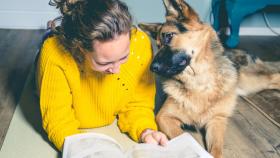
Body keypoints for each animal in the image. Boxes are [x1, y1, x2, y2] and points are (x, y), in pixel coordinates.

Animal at [138, 0, 280, 157]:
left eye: (169, 36)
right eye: (158, 45)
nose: (152, 68)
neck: (199, 83)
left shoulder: (216, 120)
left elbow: (216, 149)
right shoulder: (164, 117)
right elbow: (182, 136)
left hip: (248, 82)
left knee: (273, 76)